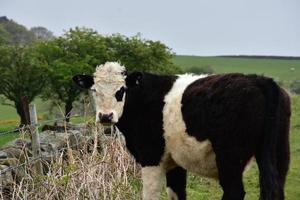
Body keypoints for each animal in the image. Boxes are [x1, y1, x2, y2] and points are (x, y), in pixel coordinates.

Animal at [72, 62, 290, 200]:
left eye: (121, 90)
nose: (105, 116)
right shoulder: (175, 161)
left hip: (230, 157)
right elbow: (177, 194)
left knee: (234, 192)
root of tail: (259, 80)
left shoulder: (151, 157)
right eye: (94, 90)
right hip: (279, 153)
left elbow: (150, 195)